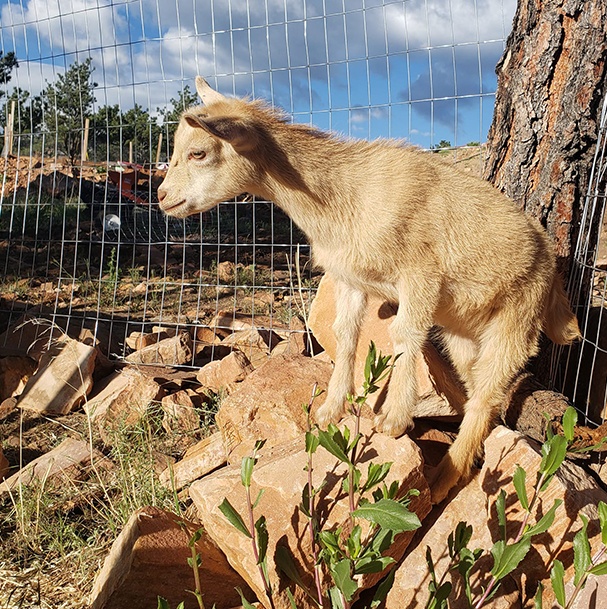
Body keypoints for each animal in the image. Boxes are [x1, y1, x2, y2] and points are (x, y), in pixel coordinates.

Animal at [159, 77, 580, 504]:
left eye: (198, 152)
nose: (161, 197)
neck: (345, 195)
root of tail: (553, 273)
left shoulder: (421, 273)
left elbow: (405, 333)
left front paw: (394, 418)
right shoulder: (350, 278)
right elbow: (346, 334)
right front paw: (330, 408)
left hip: (516, 323)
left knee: (486, 395)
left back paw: (445, 474)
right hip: (464, 332)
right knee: (478, 389)